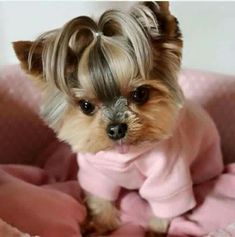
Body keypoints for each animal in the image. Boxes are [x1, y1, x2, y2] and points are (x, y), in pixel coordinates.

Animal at [13, 1, 224, 235]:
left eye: (140, 94)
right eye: (86, 106)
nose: (116, 129)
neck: (123, 154)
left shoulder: (169, 177)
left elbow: (164, 206)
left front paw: (155, 231)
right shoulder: (96, 172)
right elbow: (99, 198)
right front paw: (100, 225)